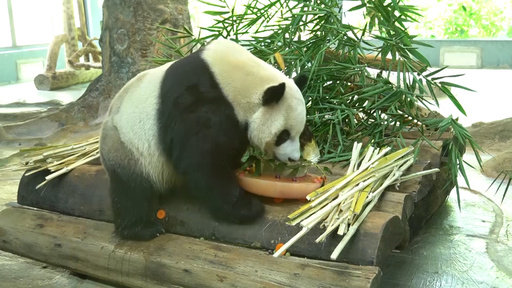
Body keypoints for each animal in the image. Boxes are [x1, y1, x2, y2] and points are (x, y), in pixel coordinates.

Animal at [100, 38, 308, 241]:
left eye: (300, 132)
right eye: (284, 135)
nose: (294, 158)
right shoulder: (197, 100)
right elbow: (202, 160)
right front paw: (248, 209)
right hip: (128, 146)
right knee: (132, 191)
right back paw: (142, 230)